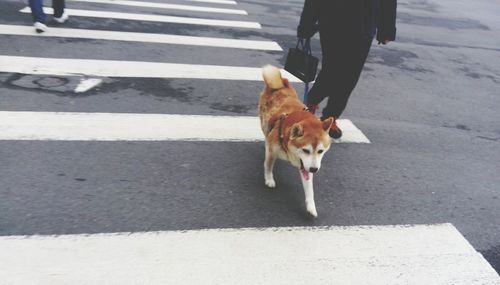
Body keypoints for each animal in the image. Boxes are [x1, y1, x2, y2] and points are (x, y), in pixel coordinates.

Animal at [258, 65, 332, 215]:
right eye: (305, 150)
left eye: (320, 151)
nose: (314, 169)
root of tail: (281, 83)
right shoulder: (272, 151)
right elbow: (268, 165)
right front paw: (269, 179)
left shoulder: (306, 165)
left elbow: (309, 188)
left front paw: (311, 206)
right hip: (264, 122)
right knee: (266, 132)